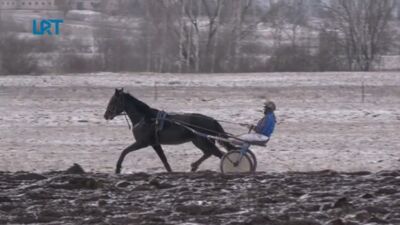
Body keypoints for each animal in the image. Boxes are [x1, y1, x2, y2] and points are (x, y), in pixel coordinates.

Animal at [104, 89, 234, 173]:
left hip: (203, 141)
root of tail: (212, 120)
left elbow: (124, 151)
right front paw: (170, 172)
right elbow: (164, 161)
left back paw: (232, 166)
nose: (106, 115)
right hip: (199, 141)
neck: (146, 118)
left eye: (113, 101)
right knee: (209, 153)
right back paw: (194, 166)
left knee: (219, 154)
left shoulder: (143, 143)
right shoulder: (155, 144)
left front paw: (118, 168)